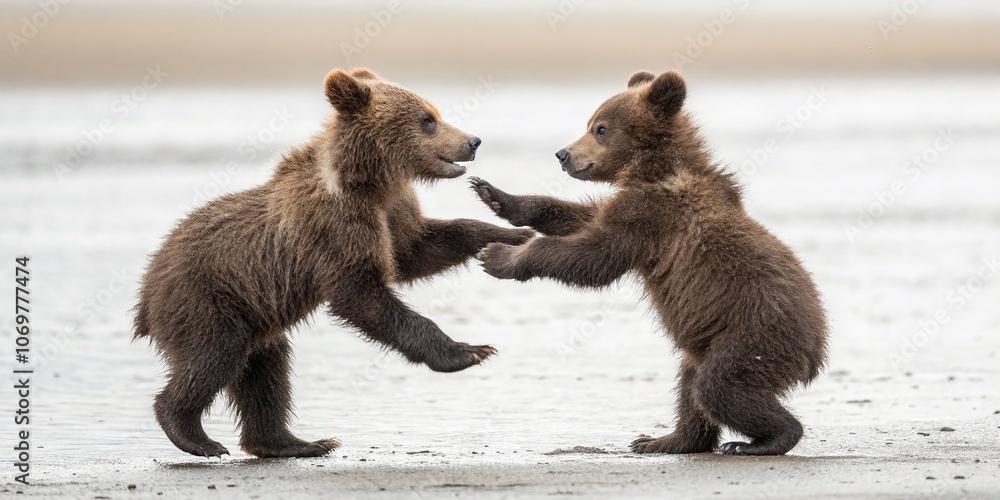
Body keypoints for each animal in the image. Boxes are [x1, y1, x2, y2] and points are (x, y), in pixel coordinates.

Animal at [133, 68, 533, 459]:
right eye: (427, 119)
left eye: (435, 113)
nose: (473, 141)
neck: (370, 182)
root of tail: (146, 289)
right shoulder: (335, 226)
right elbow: (360, 292)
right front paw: (468, 351)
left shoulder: (392, 214)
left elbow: (418, 249)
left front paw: (514, 236)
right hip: (206, 298)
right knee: (215, 356)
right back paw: (194, 435)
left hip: (254, 314)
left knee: (266, 371)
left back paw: (294, 443)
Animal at [471, 70, 828, 456]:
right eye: (590, 123)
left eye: (601, 128)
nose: (563, 154)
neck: (654, 170)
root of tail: (817, 349)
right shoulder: (630, 207)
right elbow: (582, 217)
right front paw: (496, 196)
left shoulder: (650, 217)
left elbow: (594, 255)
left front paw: (499, 257)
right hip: (705, 342)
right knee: (690, 386)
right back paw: (662, 440)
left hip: (754, 334)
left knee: (720, 387)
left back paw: (761, 441)